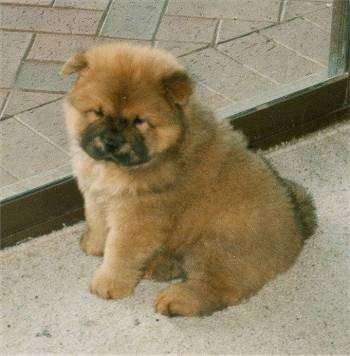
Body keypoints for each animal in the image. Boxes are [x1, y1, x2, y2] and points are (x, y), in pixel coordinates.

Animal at [62, 42, 318, 318]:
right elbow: (97, 222)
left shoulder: (137, 216)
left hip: (214, 246)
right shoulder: (97, 194)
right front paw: (93, 245)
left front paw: (107, 283)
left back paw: (176, 299)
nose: (111, 142)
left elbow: (120, 250)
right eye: (97, 112)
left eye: (139, 121)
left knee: (218, 288)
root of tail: (298, 232)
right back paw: (160, 267)